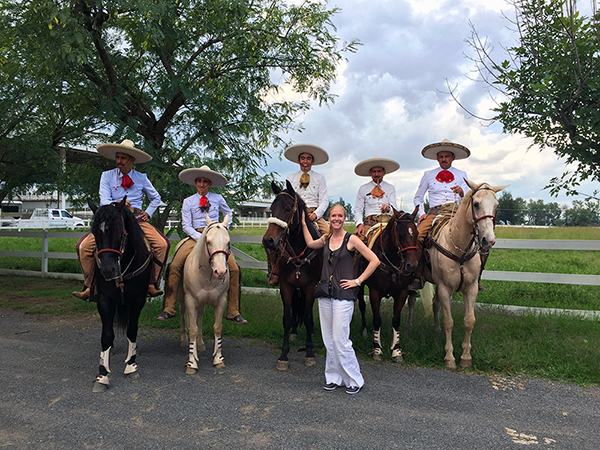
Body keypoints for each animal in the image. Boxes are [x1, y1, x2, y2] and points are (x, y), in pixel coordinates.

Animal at [86, 199, 154, 392]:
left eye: (119, 231)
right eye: (94, 232)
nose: (108, 270)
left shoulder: (137, 300)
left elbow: (132, 330)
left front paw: (131, 366)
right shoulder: (104, 300)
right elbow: (107, 335)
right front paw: (102, 374)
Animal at [177, 214, 231, 372]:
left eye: (228, 242)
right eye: (208, 241)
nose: (220, 272)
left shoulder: (221, 301)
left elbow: (217, 327)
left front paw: (218, 359)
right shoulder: (190, 301)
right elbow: (192, 329)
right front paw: (191, 363)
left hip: (201, 304)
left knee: (199, 317)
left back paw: (200, 343)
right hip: (182, 299)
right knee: (182, 314)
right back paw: (184, 340)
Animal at [260, 181, 322, 370]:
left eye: (287, 209)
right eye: (271, 209)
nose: (268, 241)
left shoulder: (310, 287)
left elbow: (308, 317)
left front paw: (309, 353)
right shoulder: (286, 286)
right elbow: (287, 318)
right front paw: (283, 355)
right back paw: (294, 332)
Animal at [358, 207, 420, 362]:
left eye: (416, 233)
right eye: (400, 234)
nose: (411, 265)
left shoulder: (402, 292)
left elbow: (396, 320)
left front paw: (397, 350)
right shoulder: (374, 292)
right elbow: (377, 320)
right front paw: (377, 349)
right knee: (361, 305)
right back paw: (364, 331)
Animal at [422, 179, 506, 370]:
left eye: (496, 205)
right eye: (476, 204)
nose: (489, 240)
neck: (458, 248)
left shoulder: (471, 288)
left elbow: (469, 321)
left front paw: (466, 357)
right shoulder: (445, 288)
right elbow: (449, 322)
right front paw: (449, 357)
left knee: (435, 304)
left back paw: (436, 330)